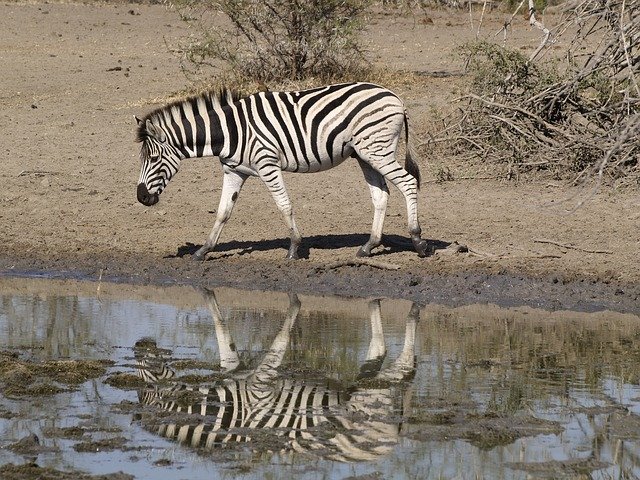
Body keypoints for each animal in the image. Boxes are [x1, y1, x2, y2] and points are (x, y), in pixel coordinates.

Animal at [132, 288, 418, 462]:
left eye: (149, 374)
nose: (138, 344)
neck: (227, 407)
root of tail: (390, 444)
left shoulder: (260, 384)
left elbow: (279, 341)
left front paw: (294, 304)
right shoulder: (239, 371)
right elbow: (224, 332)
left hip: (371, 395)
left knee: (405, 366)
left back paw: (413, 314)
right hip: (367, 389)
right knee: (384, 355)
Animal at [136, 83, 432, 262]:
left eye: (153, 158)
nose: (141, 198)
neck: (231, 131)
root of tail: (396, 98)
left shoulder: (267, 164)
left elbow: (284, 205)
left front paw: (293, 248)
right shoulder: (233, 171)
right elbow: (223, 212)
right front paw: (203, 251)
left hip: (377, 150)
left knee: (408, 182)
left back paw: (418, 241)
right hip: (365, 154)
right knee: (381, 195)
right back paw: (369, 246)